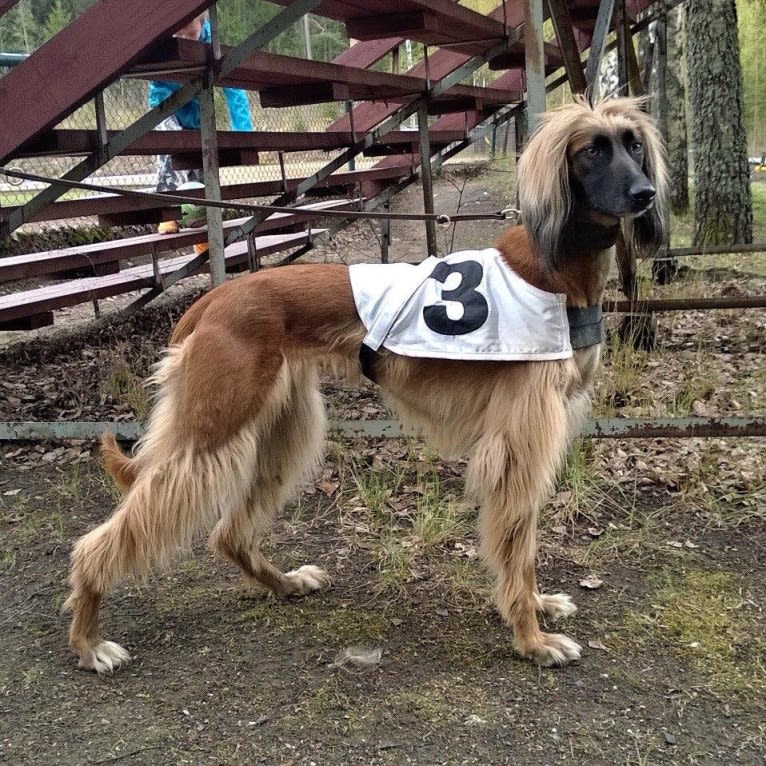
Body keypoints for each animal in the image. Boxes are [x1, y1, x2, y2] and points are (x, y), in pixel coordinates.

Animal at [64, 94, 664, 672]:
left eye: (633, 145)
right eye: (592, 150)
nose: (646, 194)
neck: (556, 268)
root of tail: (212, 301)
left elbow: (527, 538)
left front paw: (538, 607)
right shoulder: (520, 440)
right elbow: (520, 543)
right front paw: (532, 638)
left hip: (283, 428)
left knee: (228, 533)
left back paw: (283, 583)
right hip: (212, 431)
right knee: (101, 542)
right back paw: (89, 641)